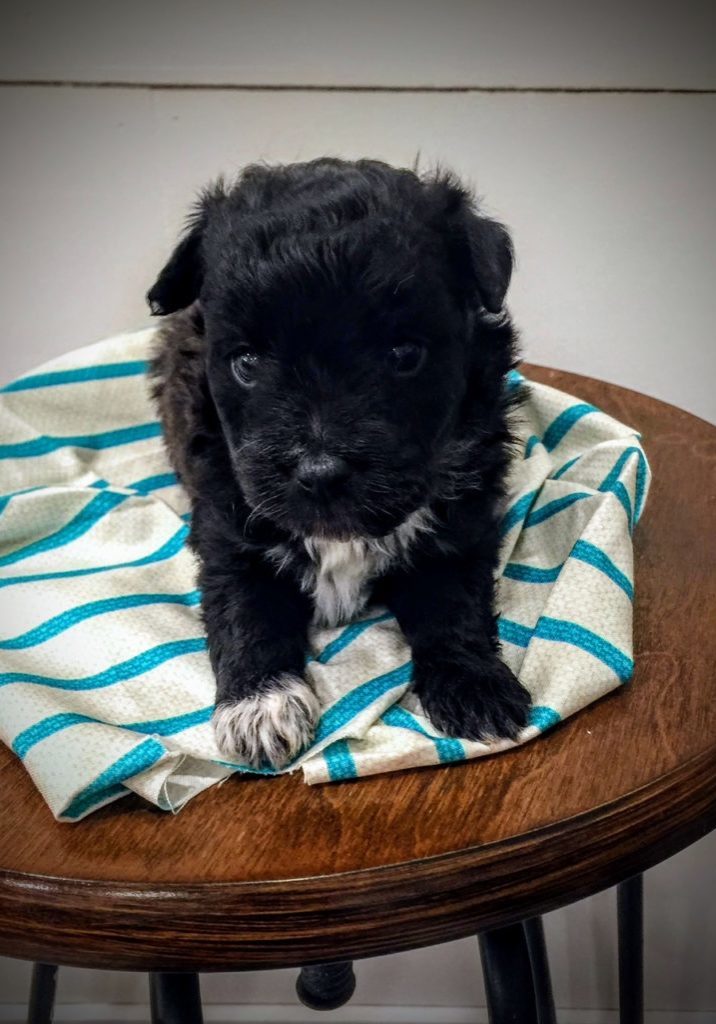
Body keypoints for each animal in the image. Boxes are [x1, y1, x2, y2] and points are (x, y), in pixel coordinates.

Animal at [148, 157, 532, 770]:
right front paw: (259, 706)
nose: (319, 473)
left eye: (405, 354)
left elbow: (454, 603)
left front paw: (476, 686)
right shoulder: (228, 529)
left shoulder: (460, 524)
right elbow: (245, 611)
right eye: (246, 362)